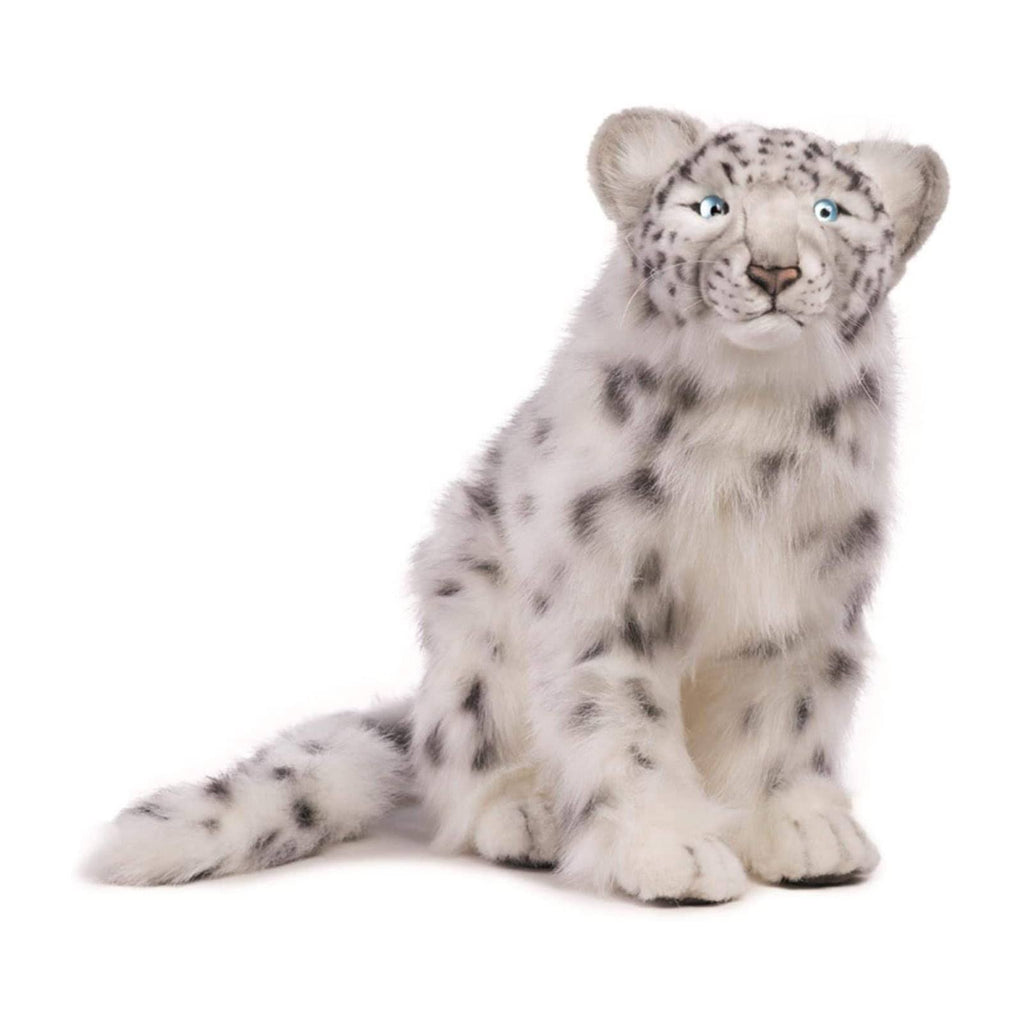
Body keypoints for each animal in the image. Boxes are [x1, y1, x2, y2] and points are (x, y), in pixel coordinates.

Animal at [87, 108, 948, 904]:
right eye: (711, 206)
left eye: (830, 211)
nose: (775, 269)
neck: (755, 423)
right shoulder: (608, 596)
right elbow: (626, 726)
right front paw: (672, 852)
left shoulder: (805, 605)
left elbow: (784, 723)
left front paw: (803, 833)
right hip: (472, 634)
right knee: (466, 759)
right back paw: (527, 816)